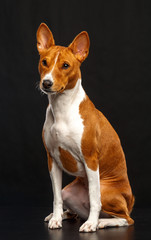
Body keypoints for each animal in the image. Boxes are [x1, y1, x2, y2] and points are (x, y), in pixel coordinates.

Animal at [36, 23, 134, 232]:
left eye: (65, 65)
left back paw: (100, 222)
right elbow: (56, 197)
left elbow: (95, 200)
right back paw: (61, 216)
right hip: (69, 192)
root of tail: (131, 201)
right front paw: (56, 217)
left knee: (125, 218)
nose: (46, 83)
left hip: (106, 189)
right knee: (74, 211)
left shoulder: (90, 159)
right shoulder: (52, 160)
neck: (62, 109)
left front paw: (91, 223)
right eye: (44, 62)